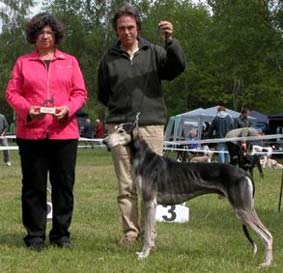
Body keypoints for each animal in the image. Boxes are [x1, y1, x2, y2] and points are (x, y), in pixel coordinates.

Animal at [104, 122, 272, 266]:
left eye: (121, 131)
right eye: (115, 129)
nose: (105, 142)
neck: (145, 159)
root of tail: (244, 173)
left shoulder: (150, 202)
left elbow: (148, 235)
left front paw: (144, 255)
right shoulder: (150, 203)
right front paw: (144, 253)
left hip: (242, 209)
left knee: (267, 236)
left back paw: (266, 263)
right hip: (248, 208)